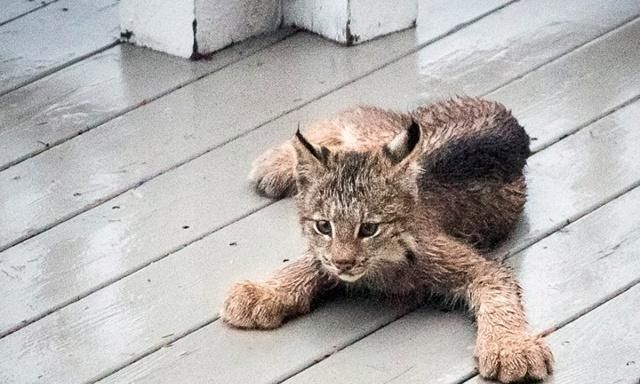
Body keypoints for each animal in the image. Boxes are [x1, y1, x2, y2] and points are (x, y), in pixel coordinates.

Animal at [222, 97, 552, 382]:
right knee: (351, 118)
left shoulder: (484, 268)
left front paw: (510, 347)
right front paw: (265, 292)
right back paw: (279, 162)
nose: (344, 263)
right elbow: (310, 261)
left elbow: (499, 296)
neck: (387, 261)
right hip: (383, 136)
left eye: (369, 229)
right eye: (324, 226)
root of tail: (502, 112)